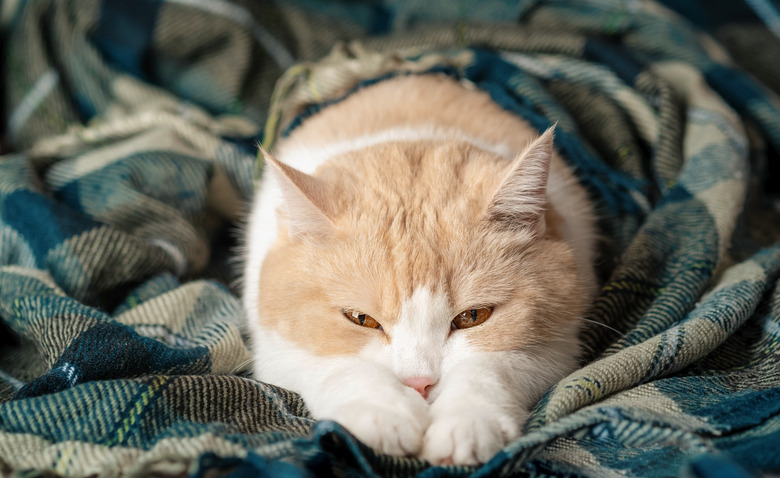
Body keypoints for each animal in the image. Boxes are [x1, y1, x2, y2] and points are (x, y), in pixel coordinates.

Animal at [244, 75, 596, 466]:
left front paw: (468, 424)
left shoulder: (556, 347)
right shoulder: (276, 352)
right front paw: (382, 415)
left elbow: (491, 367)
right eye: (360, 319)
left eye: (473, 316)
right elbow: (340, 366)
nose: (419, 384)